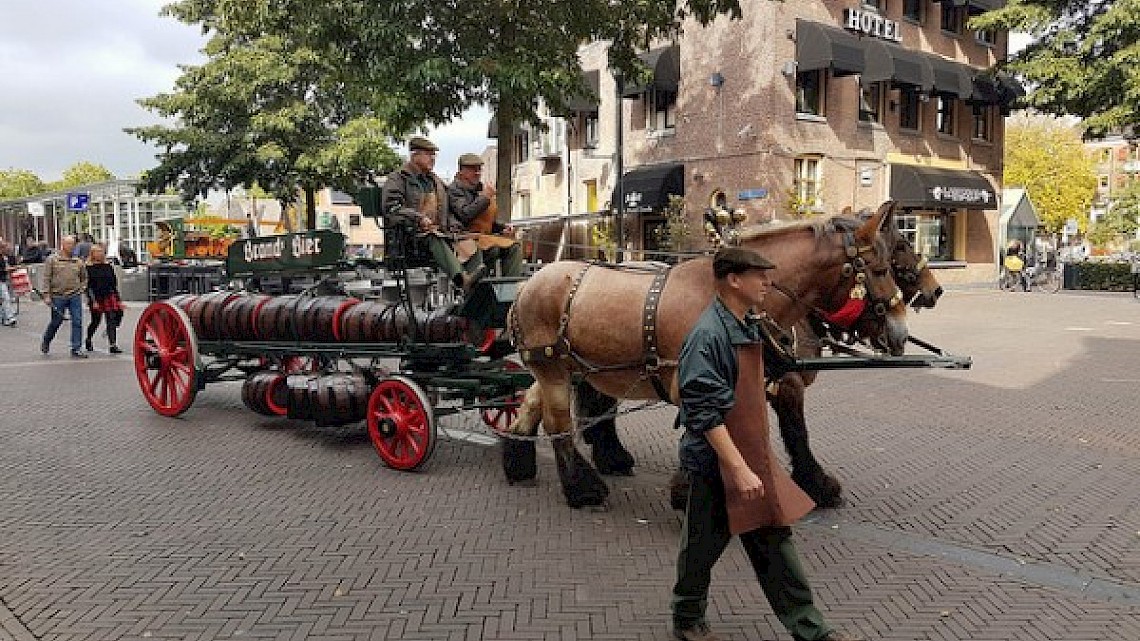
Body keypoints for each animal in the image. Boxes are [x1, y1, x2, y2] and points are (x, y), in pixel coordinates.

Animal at [508, 201, 907, 506]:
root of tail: (529, 282)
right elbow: (717, 435)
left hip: (570, 367)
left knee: (535, 405)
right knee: (558, 423)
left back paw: (520, 457)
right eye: (880, 269)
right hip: (553, 368)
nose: (900, 332)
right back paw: (582, 489)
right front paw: (690, 494)